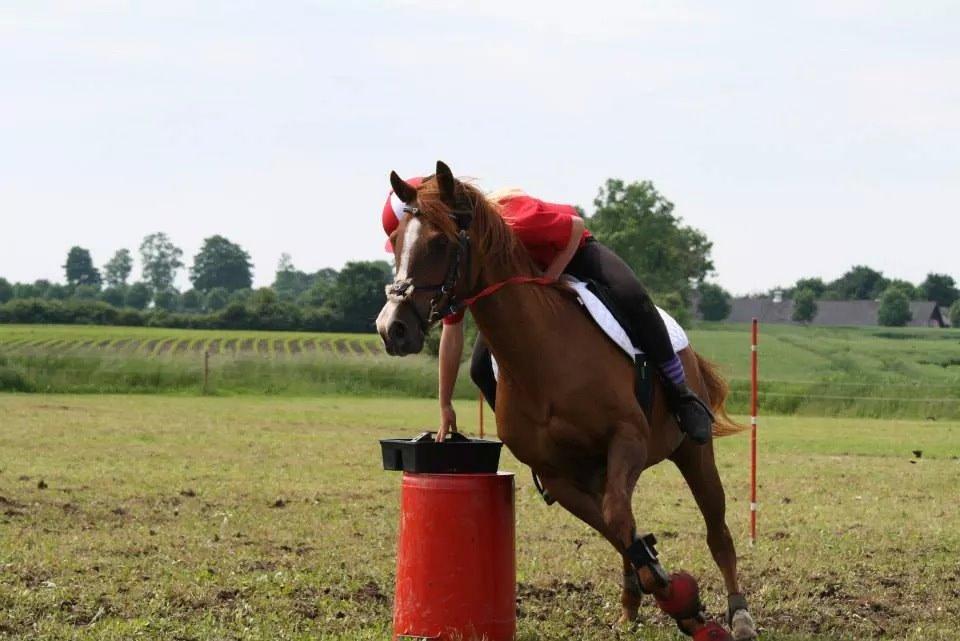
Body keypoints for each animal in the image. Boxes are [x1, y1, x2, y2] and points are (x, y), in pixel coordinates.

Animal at [376, 161, 758, 641]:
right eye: (395, 241)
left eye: (440, 241)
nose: (392, 328)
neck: (544, 358)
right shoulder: (557, 474)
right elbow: (617, 527)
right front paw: (668, 590)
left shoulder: (627, 439)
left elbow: (620, 519)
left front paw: (681, 600)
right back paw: (630, 606)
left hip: (692, 451)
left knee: (717, 531)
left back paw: (739, 614)